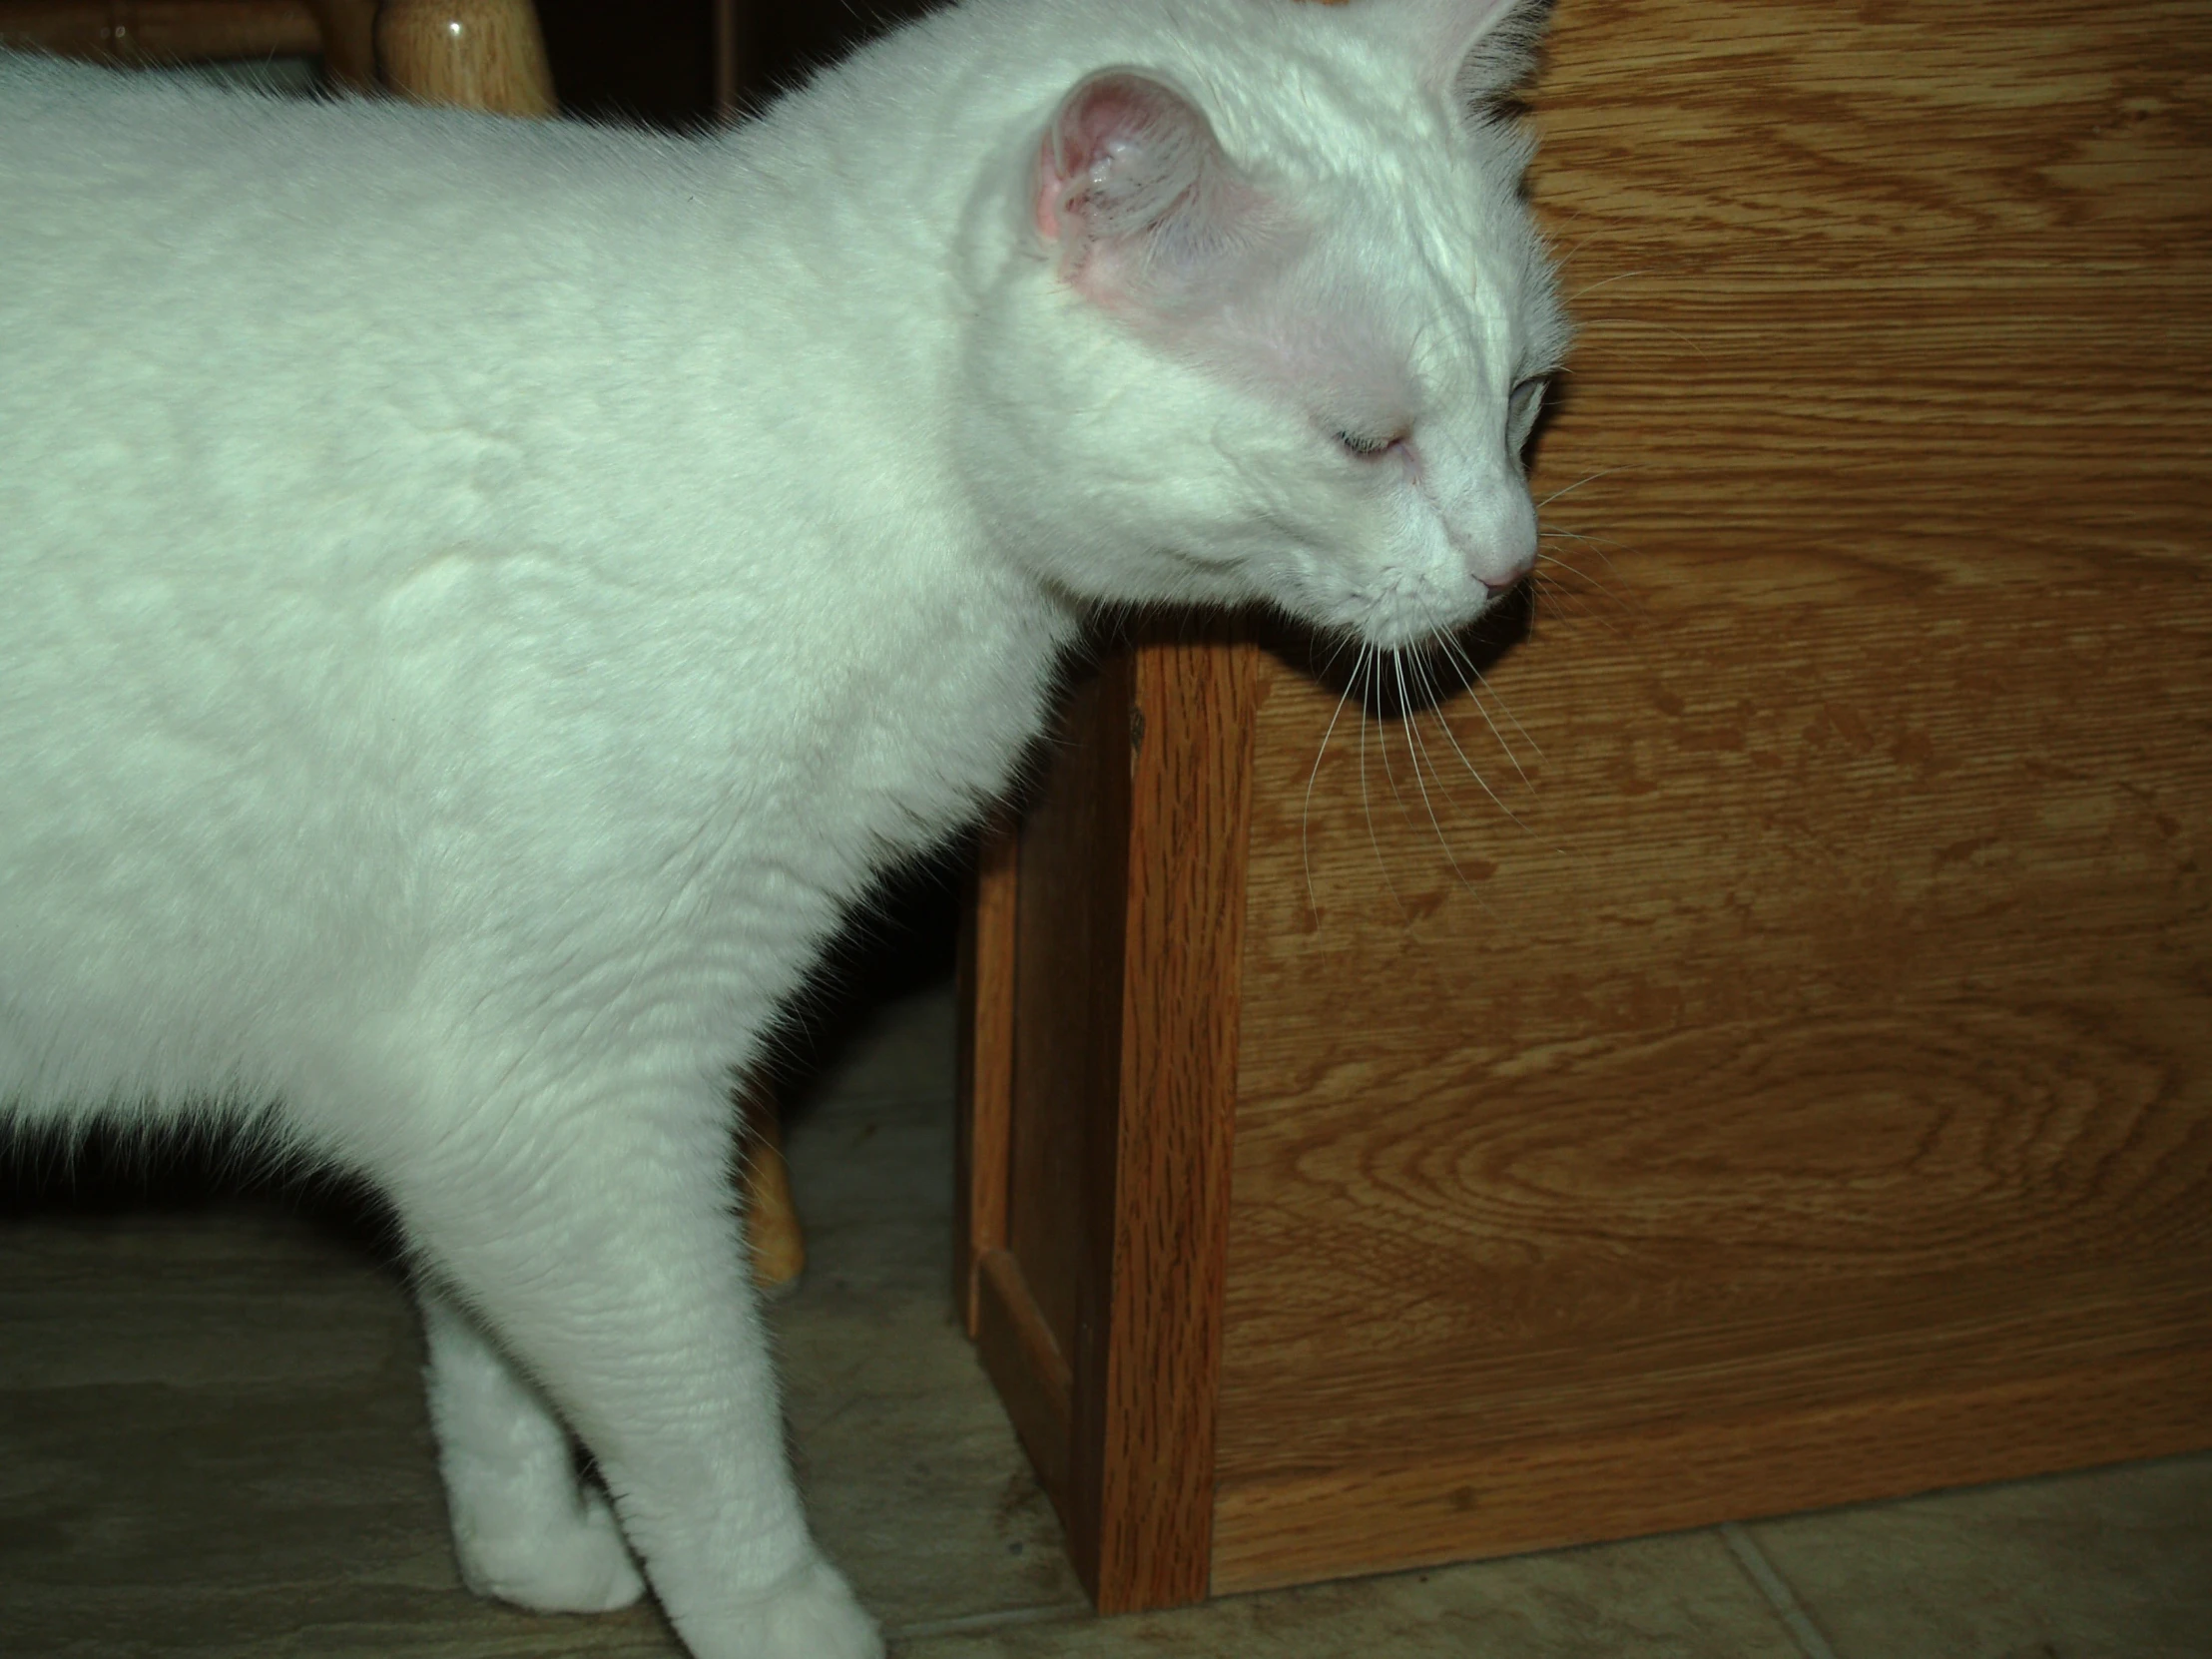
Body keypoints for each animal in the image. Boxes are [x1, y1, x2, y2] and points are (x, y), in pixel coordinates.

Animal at [0, 3, 1565, 1659]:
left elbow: (487, 1364)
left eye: (1528, 393)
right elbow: (709, 1436)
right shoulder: (567, 1102)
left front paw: (527, 1552)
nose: (1509, 565)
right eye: (1364, 440)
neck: (855, 451)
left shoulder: (459, 1094)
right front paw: (797, 1626)